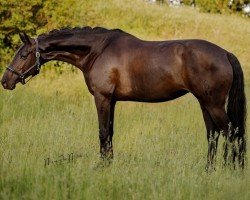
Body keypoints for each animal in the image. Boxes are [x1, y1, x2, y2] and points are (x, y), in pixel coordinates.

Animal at [0, 26, 246, 170]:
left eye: (23, 54)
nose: (5, 81)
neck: (96, 50)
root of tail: (225, 53)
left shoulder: (102, 98)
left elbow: (102, 133)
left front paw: (101, 167)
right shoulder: (112, 101)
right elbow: (110, 133)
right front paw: (109, 164)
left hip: (213, 105)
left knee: (231, 133)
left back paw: (232, 169)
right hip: (205, 104)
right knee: (213, 135)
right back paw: (209, 170)